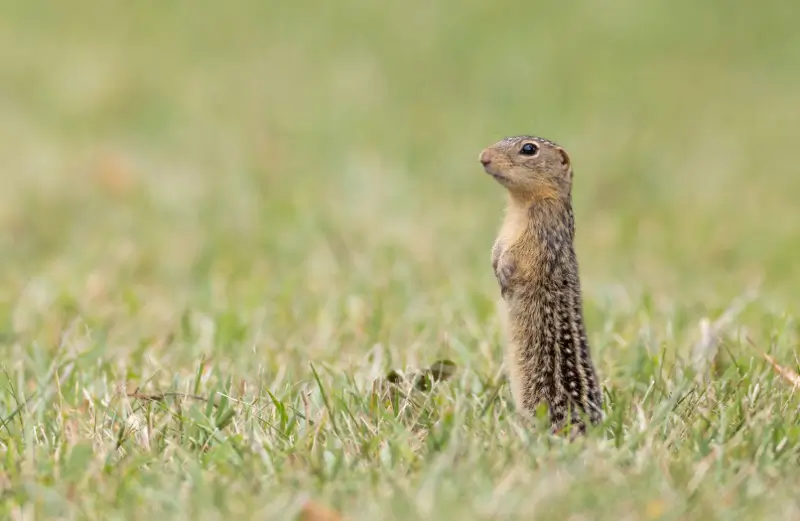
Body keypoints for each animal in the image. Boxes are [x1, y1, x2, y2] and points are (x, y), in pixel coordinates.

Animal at [482, 135, 600, 434]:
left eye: (528, 149)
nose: (483, 156)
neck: (520, 205)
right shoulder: (506, 232)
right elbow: (497, 248)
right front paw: (496, 267)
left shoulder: (541, 232)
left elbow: (517, 255)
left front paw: (504, 274)